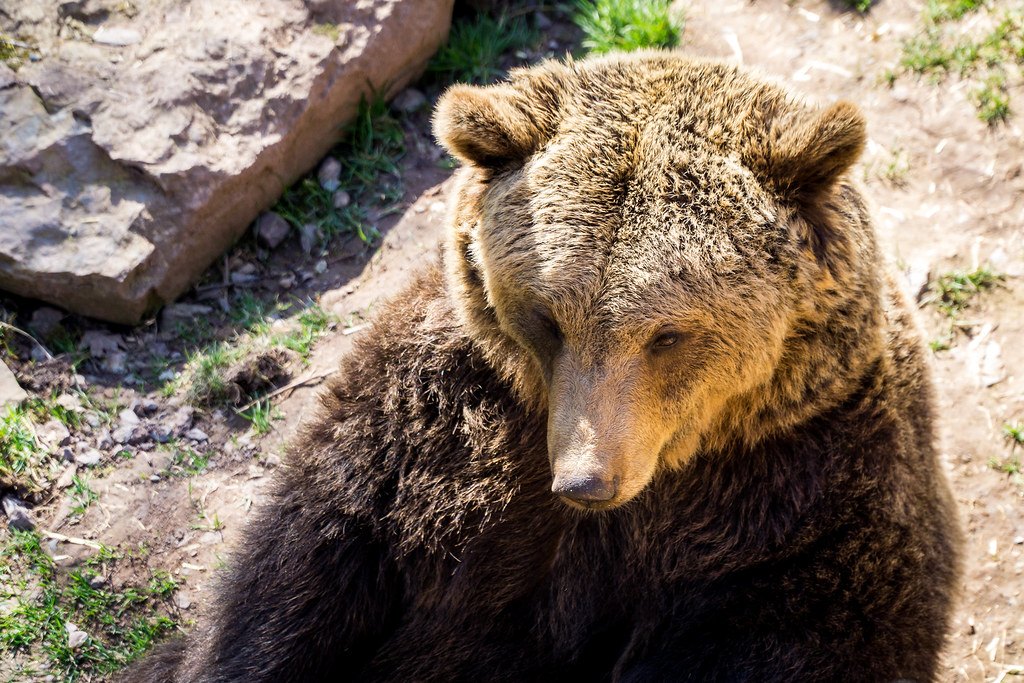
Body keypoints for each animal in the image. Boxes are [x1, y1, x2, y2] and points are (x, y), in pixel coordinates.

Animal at [124, 51, 962, 682]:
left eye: (668, 333)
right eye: (547, 316)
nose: (586, 480)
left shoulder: (808, 492)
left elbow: (798, 631)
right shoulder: (439, 421)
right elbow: (304, 570)